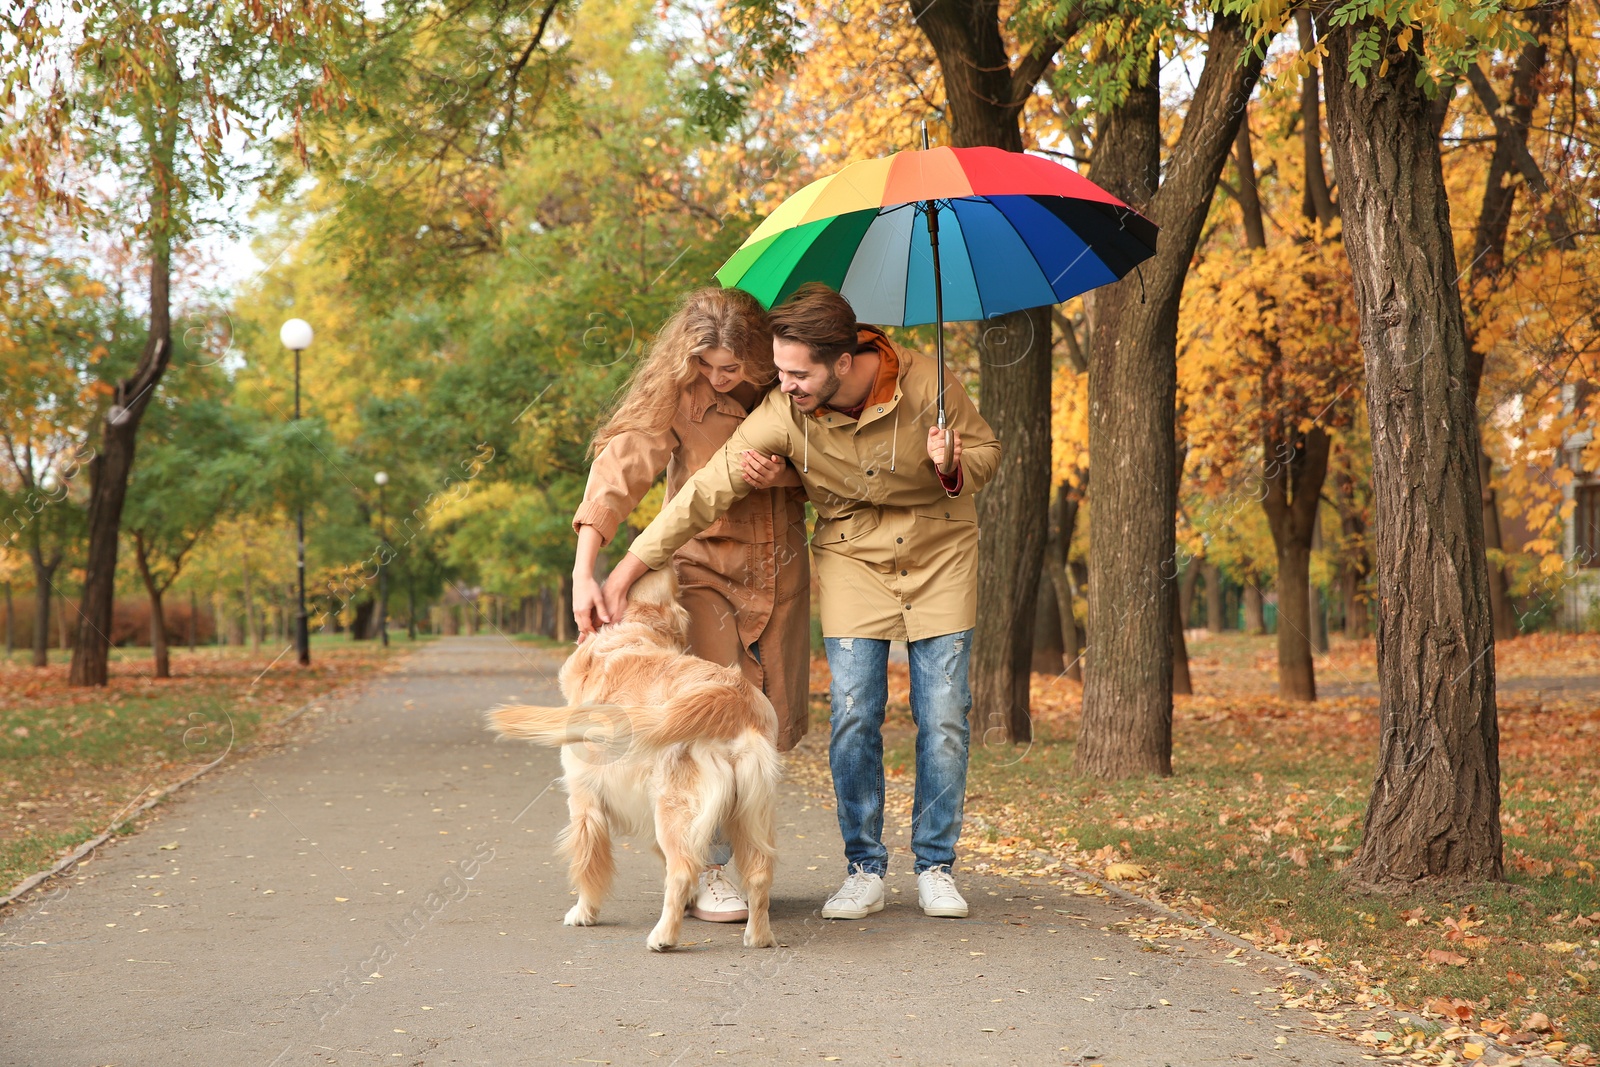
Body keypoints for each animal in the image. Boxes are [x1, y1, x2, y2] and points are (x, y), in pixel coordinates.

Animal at [486, 572, 787, 953]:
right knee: (759, 874)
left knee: (682, 870)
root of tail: (731, 695)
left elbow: (588, 865)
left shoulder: (585, 802)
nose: (666, 564)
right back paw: (758, 937)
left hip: (673, 808)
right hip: (750, 812)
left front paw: (584, 913)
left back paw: (663, 937)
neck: (632, 634)